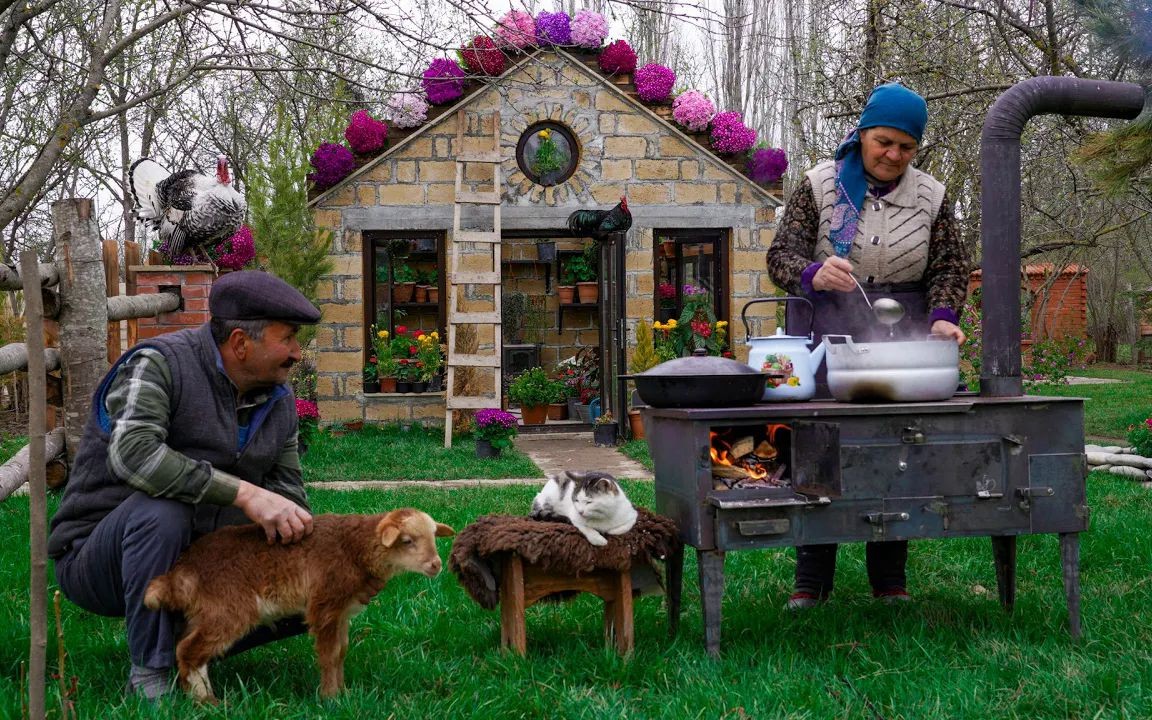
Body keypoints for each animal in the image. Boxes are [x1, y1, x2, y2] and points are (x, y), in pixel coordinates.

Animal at [141, 504, 451, 700]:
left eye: (434, 537)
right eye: (407, 540)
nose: (436, 565)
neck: (354, 547)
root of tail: (180, 572)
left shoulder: (341, 611)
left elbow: (341, 652)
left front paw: (343, 693)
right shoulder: (324, 604)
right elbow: (329, 654)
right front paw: (330, 698)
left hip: (205, 612)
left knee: (191, 649)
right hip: (228, 608)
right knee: (188, 650)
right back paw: (206, 703)